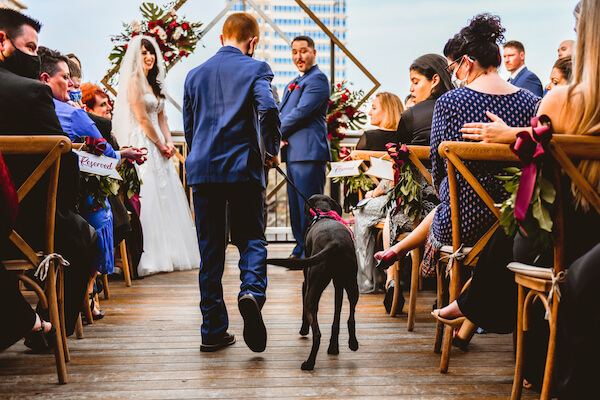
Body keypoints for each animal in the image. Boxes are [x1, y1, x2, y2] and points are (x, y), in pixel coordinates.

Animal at [264, 195, 358, 370]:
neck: (324, 214)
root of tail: (333, 243)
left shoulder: (305, 284)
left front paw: (303, 330)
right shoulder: (339, 286)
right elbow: (336, 319)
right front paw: (334, 347)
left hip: (311, 291)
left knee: (317, 333)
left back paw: (309, 363)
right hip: (352, 285)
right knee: (350, 318)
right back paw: (351, 344)